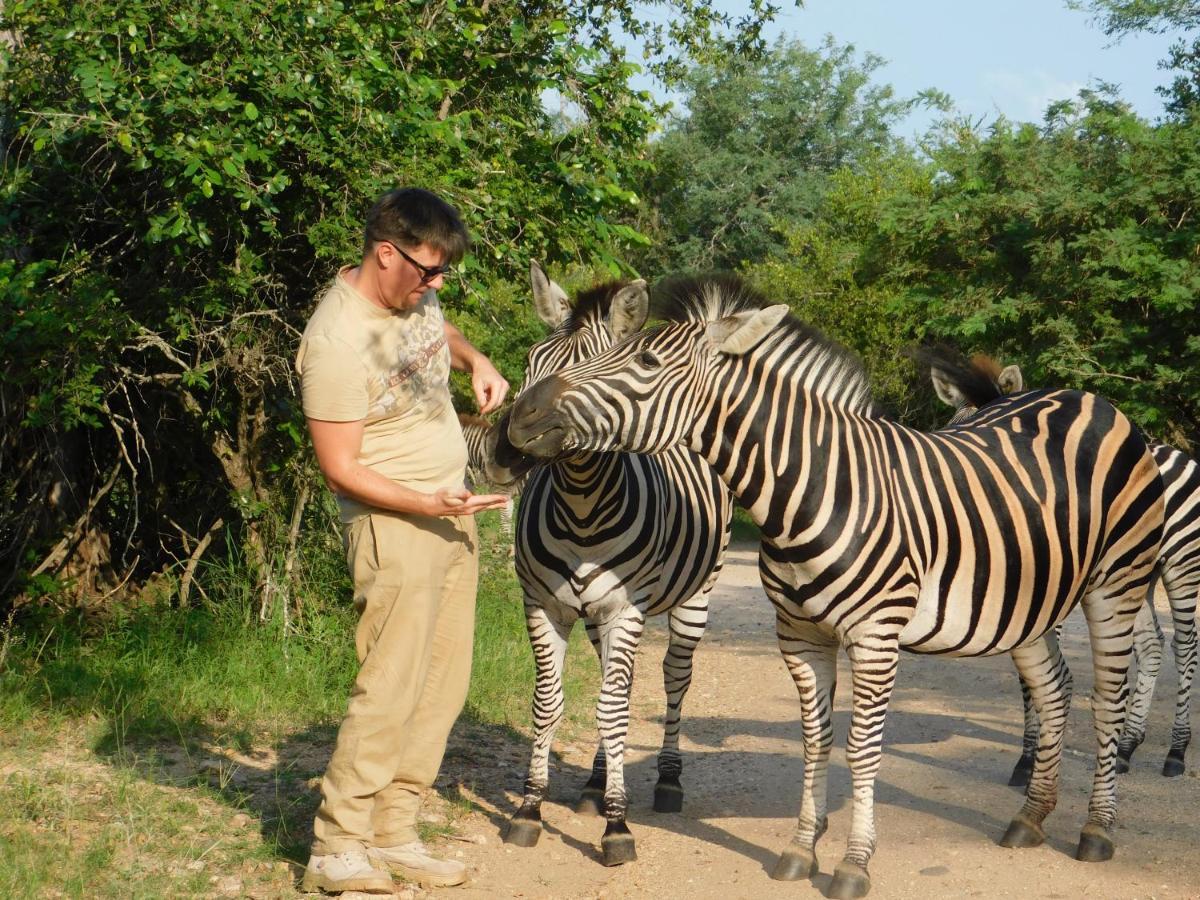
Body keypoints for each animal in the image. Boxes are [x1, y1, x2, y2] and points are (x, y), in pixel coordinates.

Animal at [477, 266, 729, 868]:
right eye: (530, 360)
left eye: (592, 374)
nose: (505, 450)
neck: (582, 505)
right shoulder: (543, 605)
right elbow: (550, 703)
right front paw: (529, 808)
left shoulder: (626, 608)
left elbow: (614, 710)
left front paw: (618, 825)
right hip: (595, 615)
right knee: (619, 685)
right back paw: (595, 780)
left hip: (694, 597)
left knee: (672, 679)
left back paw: (666, 781)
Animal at [506, 277, 1161, 900]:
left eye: (641, 361)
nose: (519, 422)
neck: (812, 489)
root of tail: (1085, 397)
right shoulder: (800, 636)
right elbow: (816, 738)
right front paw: (801, 849)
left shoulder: (875, 638)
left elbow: (862, 746)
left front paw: (853, 864)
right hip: (1028, 602)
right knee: (1054, 690)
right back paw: (1031, 817)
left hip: (1116, 585)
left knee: (1107, 698)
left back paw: (1096, 829)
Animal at [921, 348, 1195, 777]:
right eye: (951, 429)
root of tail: (1174, 451)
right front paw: (1028, 756)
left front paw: (1033, 757)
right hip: (1137, 576)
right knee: (1152, 645)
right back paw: (1128, 746)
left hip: (1182, 562)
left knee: (1185, 647)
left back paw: (1176, 751)